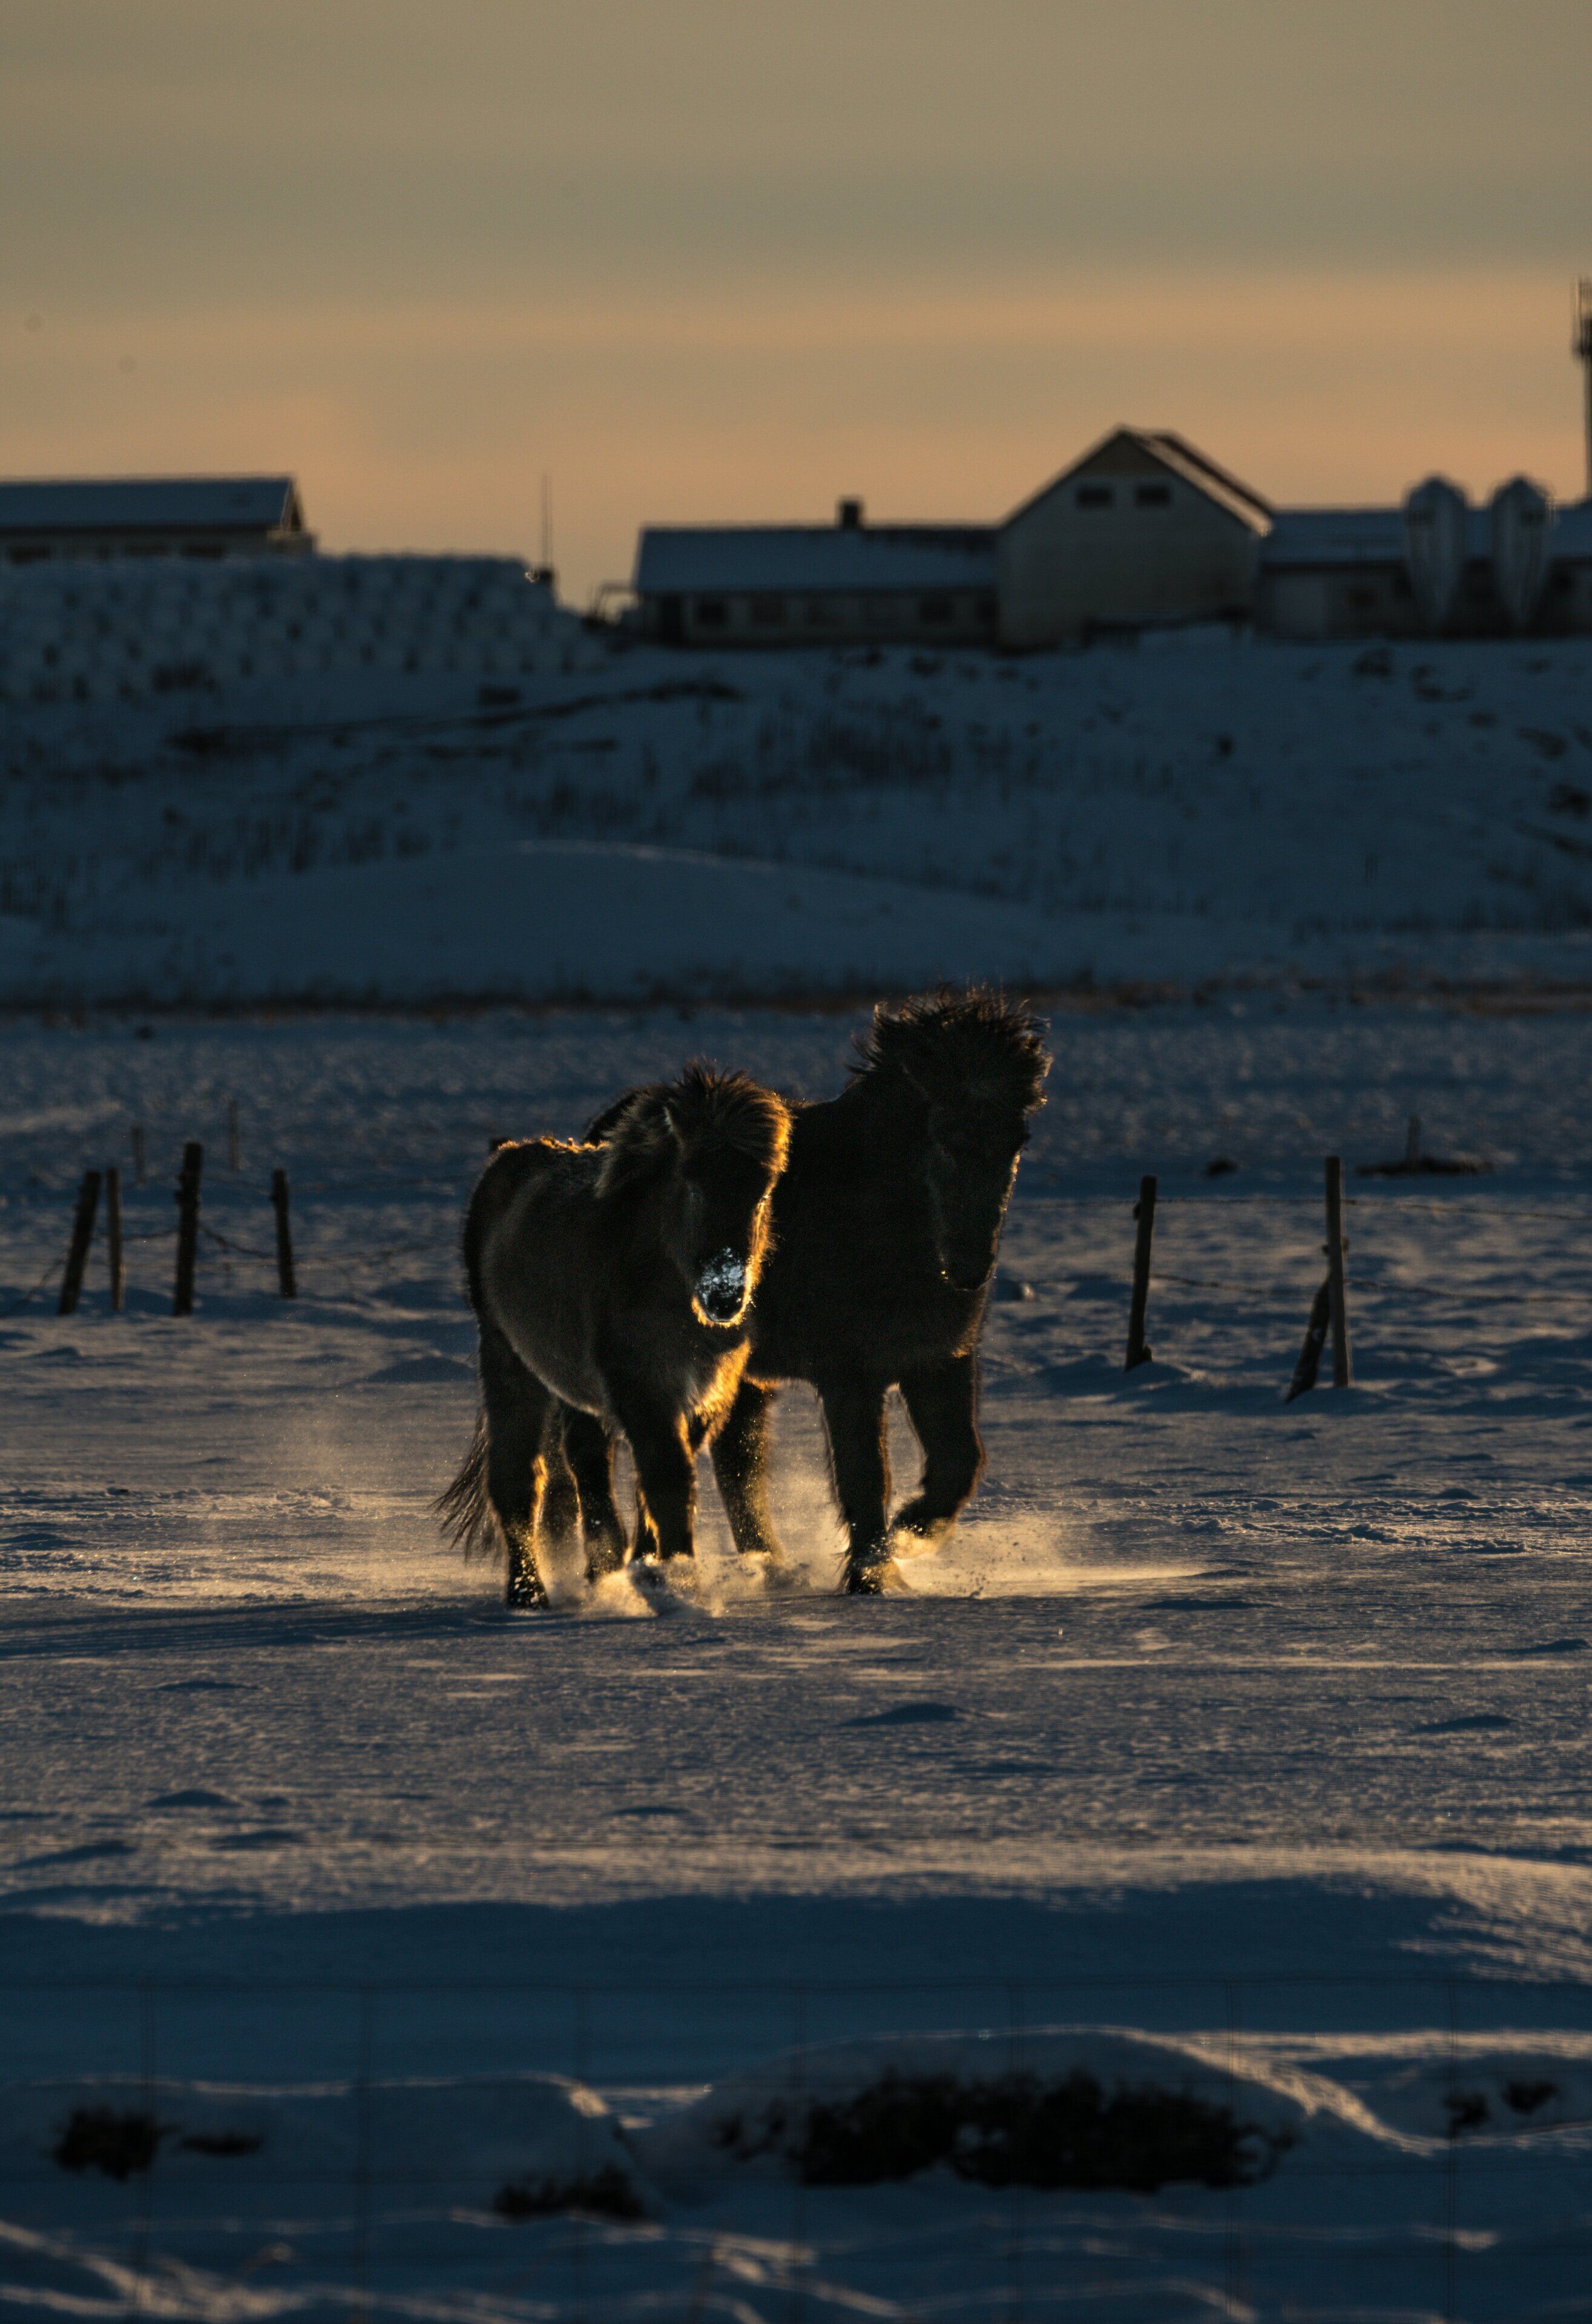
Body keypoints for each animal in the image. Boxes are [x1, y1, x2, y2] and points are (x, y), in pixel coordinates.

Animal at [436, 1064, 792, 1607]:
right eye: (693, 1184)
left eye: (764, 1193)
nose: (726, 1294)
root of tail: (507, 1157)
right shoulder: (642, 1386)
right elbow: (668, 1479)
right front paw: (681, 1586)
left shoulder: (704, 1391)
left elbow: (660, 1479)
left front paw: (652, 1567)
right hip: (509, 1365)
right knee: (520, 1478)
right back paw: (528, 1593)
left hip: (572, 1389)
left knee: (585, 1463)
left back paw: (601, 1569)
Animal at [568, 990, 1050, 1593]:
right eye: (942, 1135)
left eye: (1018, 1139)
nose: (969, 1267)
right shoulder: (850, 1376)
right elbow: (865, 1475)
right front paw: (872, 1574)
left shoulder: (939, 1360)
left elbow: (960, 1461)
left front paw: (910, 1535)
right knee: (595, 1455)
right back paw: (608, 1571)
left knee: (734, 1459)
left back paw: (762, 1565)